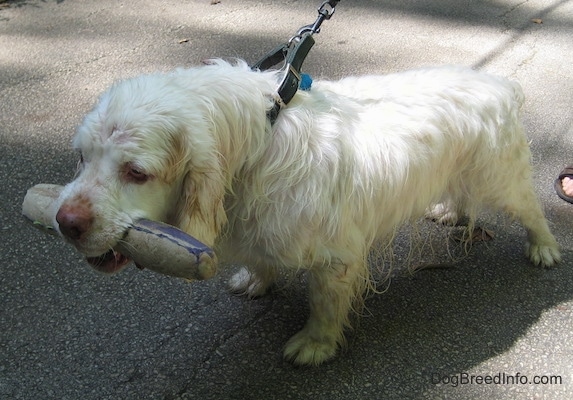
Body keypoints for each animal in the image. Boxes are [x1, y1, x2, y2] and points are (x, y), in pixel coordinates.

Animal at [52, 60, 560, 366]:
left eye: (136, 172)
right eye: (81, 157)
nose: (65, 223)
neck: (256, 144)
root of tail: (499, 84)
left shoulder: (336, 259)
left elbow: (324, 304)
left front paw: (316, 345)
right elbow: (262, 261)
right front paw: (256, 280)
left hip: (504, 179)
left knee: (533, 212)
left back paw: (545, 249)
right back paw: (448, 211)